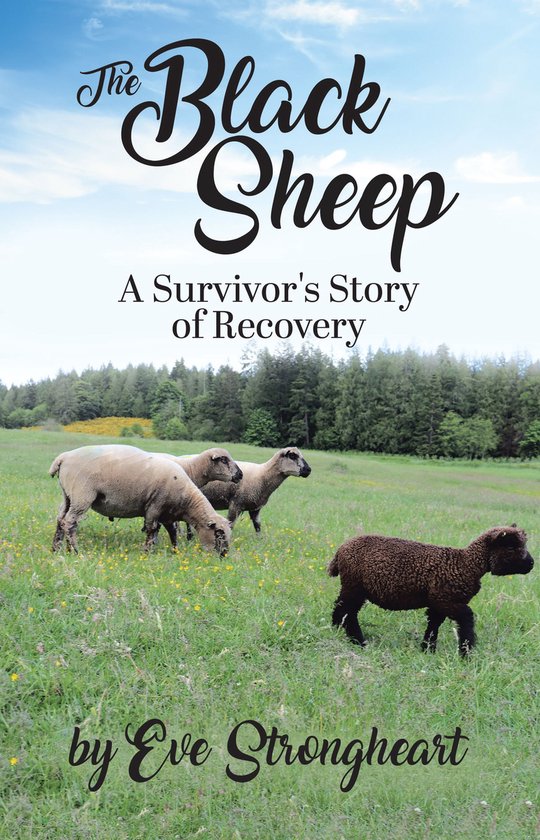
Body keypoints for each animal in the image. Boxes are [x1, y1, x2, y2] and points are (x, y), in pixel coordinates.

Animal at [49, 444, 231, 555]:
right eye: (219, 533)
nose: (224, 555)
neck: (187, 500)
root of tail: (63, 457)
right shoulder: (155, 506)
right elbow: (152, 530)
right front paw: (147, 553)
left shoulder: (167, 513)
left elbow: (171, 532)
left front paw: (175, 550)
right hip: (82, 495)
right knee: (70, 522)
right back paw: (75, 550)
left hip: (68, 495)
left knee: (61, 519)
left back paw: (57, 548)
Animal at [328, 526, 534, 656]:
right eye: (511, 546)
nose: (531, 564)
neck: (466, 564)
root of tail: (340, 551)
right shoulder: (446, 600)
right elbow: (466, 619)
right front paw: (465, 653)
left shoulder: (438, 602)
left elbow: (434, 624)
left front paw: (428, 649)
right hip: (354, 586)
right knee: (346, 612)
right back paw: (357, 641)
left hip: (355, 587)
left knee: (343, 610)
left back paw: (341, 632)